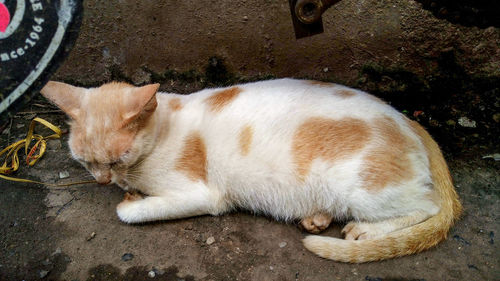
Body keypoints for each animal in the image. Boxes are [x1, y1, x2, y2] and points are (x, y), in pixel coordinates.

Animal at [39, 77, 460, 262]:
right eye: (86, 162)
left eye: (116, 159)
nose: (102, 180)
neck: (164, 128)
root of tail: (407, 120)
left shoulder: (203, 194)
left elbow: (129, 212)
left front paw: (129, 201)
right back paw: (317, 218)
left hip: (363, 188)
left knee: (429, 208)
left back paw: (366, 231)